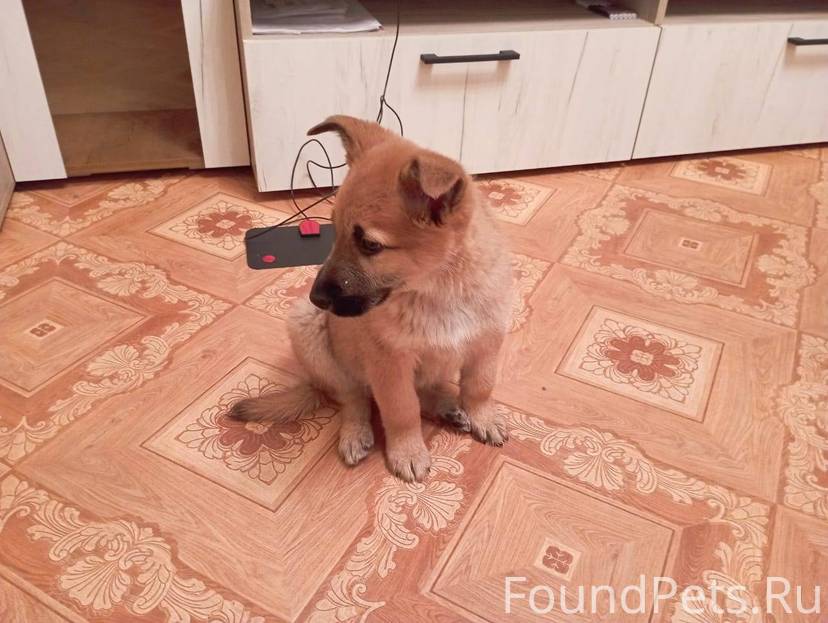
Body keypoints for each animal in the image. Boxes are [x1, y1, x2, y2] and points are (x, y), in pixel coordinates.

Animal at [230, 115, 513, 482]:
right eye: (334, 231)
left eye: (370, 245)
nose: (317, 298)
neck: (437, 290)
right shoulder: (389, 363)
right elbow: (401, 409)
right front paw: (408, 451)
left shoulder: (487, 343)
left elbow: (480, 387)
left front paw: (482, 417)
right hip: (308, 331)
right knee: (353, 399)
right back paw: (355, 432)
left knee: (421, 390)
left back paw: (447, 406)